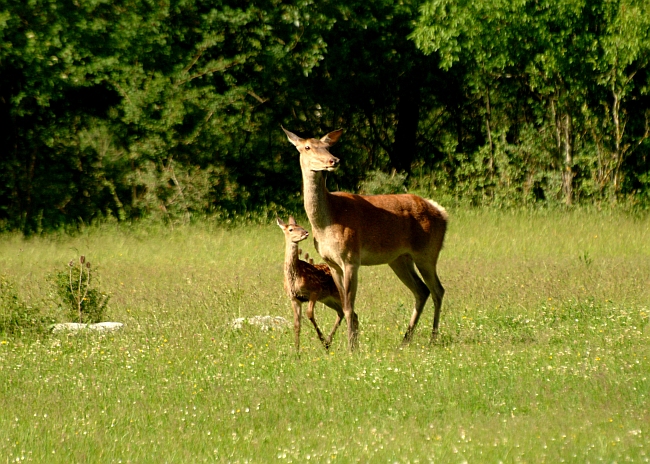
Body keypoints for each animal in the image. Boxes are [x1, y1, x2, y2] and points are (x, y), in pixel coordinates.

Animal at [278, 216, 344, 350]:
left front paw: (322, 339)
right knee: (341, 312)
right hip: (327, 299)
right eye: (291, 229)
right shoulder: (294, 298)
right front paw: (296, 350)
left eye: (300, 226)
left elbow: (309, 314)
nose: (306, 232)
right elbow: (297, 324)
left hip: (335, 294)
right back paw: (329, 341)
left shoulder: (315, 290)